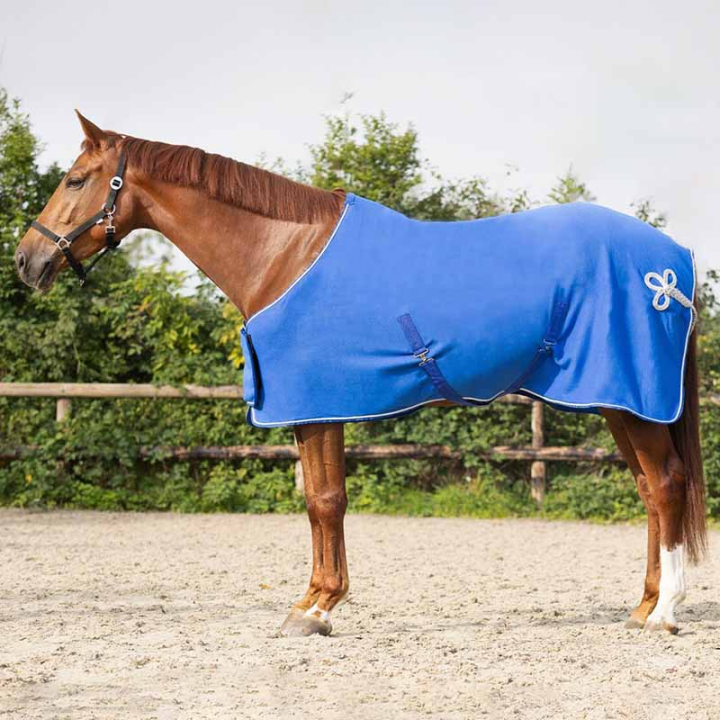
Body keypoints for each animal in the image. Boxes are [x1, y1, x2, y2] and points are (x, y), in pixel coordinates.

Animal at [14, 111, 707, 637]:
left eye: (75, 179)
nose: (27, 260)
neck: (283, 254)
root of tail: (672, 262)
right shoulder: (311, 409)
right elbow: (319, 501)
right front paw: (314, 602)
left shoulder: (317, 404)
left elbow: (325, 502)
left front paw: (315, 610)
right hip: (620, 402)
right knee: (649, 491)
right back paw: (643, 605)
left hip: (630, 398)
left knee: (666, 484)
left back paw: (663, 614)